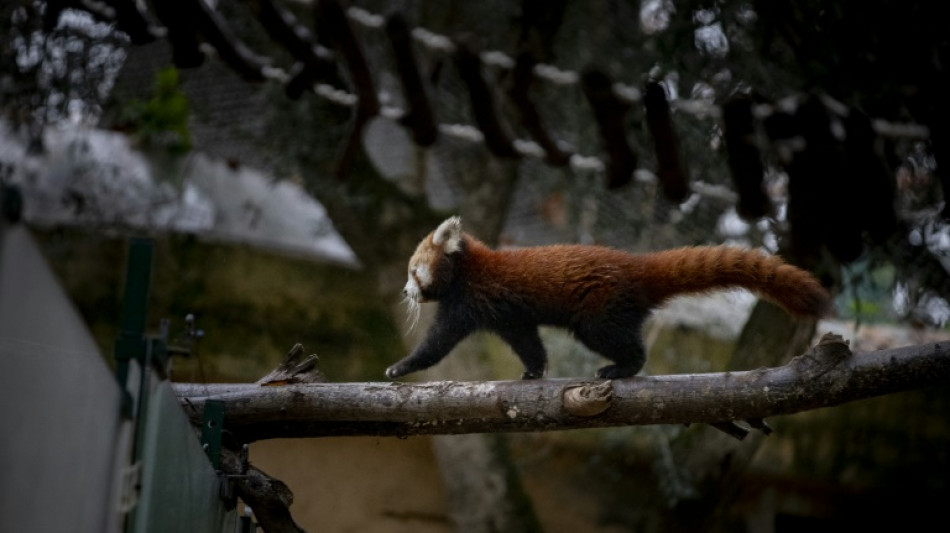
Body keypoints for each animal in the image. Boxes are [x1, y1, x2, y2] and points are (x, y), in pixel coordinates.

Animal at [386, 214, 832, 380]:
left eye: (412, 271)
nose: (405, 291)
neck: (467, 270)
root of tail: (635, 266)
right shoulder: (507, 315)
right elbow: (527, 341)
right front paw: (535, 370)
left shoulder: (469, 302)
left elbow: (437, 344)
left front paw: (401, 367)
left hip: (599, 310)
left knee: (612, 339)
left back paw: (622, 368)